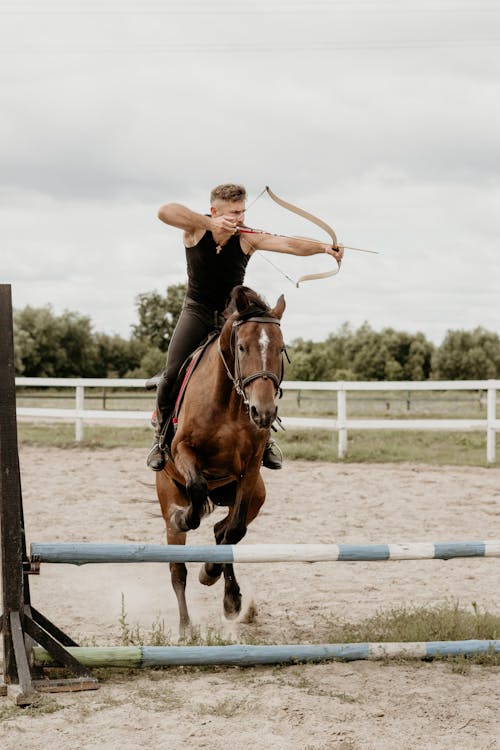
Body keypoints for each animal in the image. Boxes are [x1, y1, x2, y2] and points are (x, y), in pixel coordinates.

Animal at [157, 286, 290, 636]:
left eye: (281, 349)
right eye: (242, 347)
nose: (263, 412)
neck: (229, 402)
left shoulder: (251, 467)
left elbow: (234, 531)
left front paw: (212, 573)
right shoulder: (183, 450)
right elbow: (196, 487)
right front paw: (185, 517)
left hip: (256, 495)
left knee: (223, 530)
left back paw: (231, 600)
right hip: (167, 494)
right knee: (177, 571)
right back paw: (185, 629)